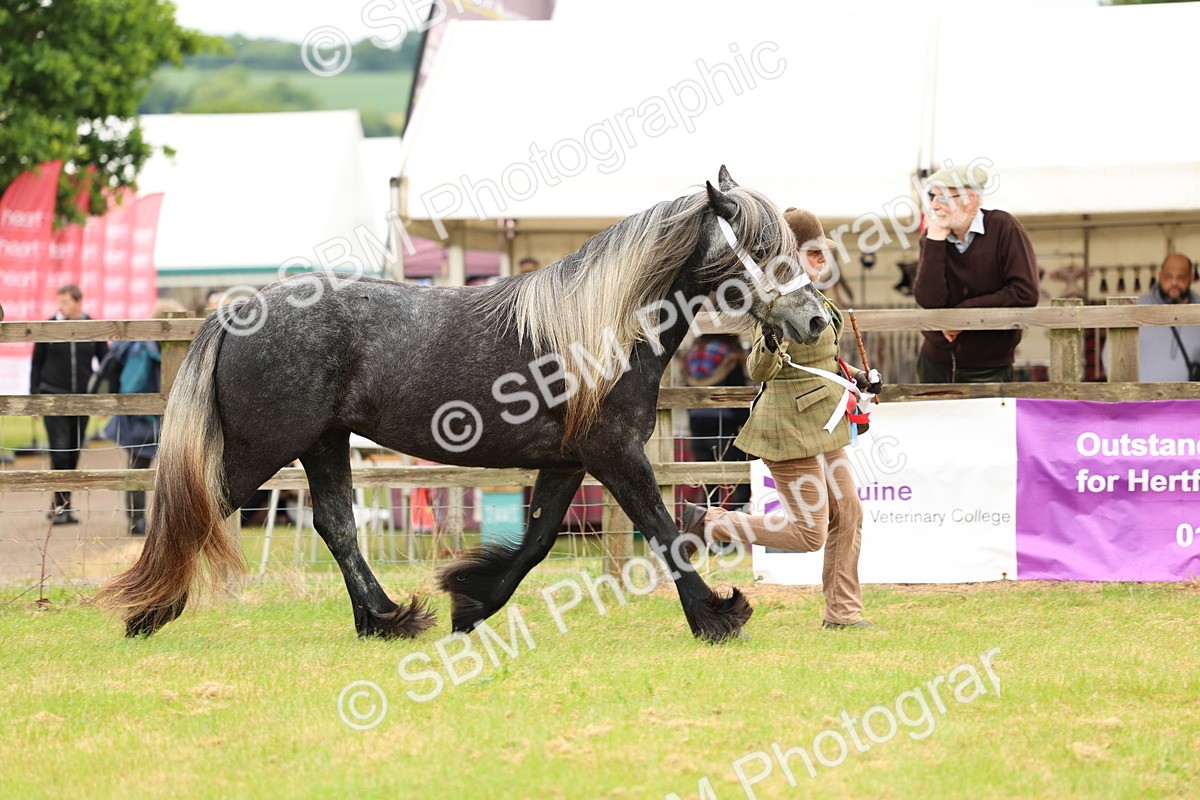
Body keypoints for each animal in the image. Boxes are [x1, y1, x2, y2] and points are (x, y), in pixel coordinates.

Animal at [94, 167, 831, 643]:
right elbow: (663, 529)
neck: (600, 327)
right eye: (761, 249)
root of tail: (238, 309)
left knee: (336, 526)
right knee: (198, 513)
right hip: (263, 451)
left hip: (323, 444)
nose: (817, 320)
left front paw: (470, 604)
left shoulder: (569, 461)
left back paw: (387, 619)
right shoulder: (615, 454)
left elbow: (536, 542)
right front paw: (718, 615)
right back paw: (148, 613)